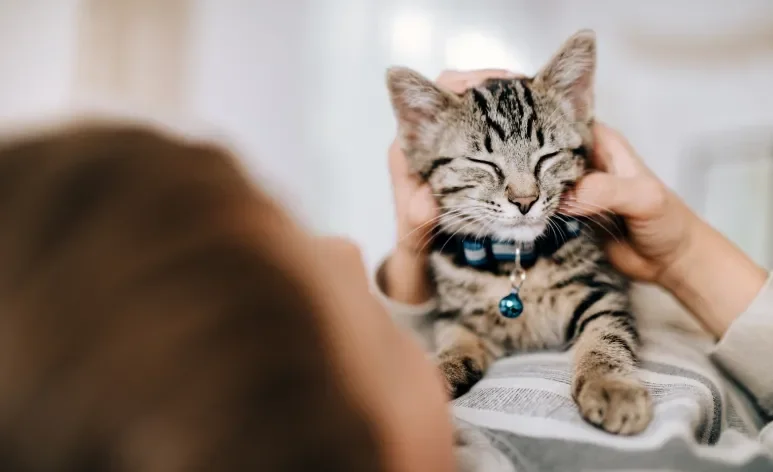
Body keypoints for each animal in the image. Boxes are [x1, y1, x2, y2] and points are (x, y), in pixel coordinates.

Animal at [386, 29, 652, 436]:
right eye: (483, 163)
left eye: (547, 157)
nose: (525, 200)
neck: (513, 260)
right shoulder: (457, 314)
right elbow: (453, 339)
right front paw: (438, 370)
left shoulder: (604, 289)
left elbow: (605, 335)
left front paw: (611, 385)